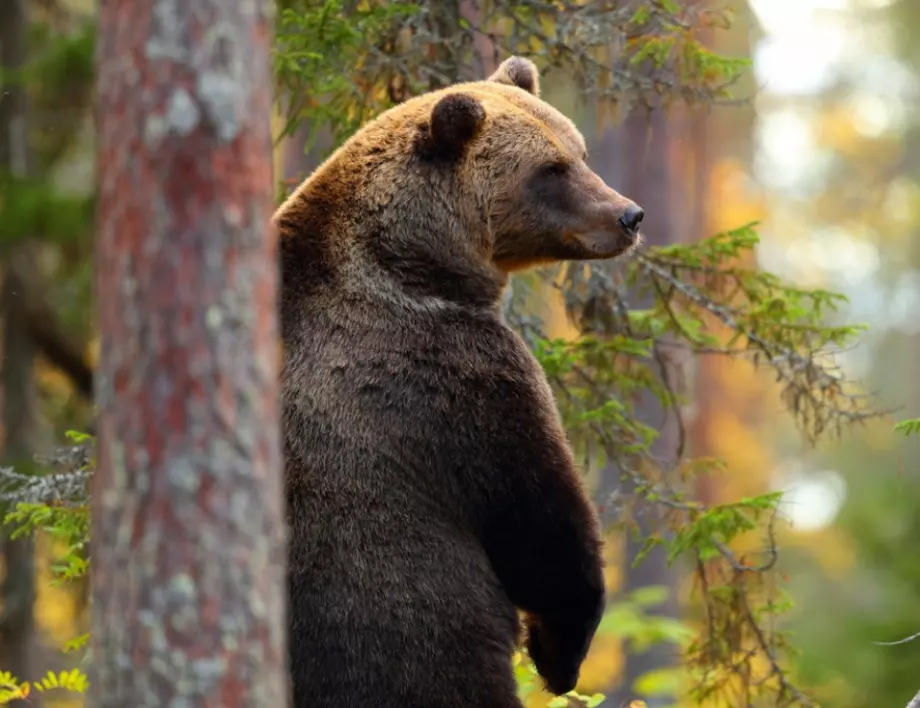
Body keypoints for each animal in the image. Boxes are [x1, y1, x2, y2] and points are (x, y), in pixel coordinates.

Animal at [276, 56, 644, 708]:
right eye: (550, 169)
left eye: (579, 151)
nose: (627, 215)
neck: (416, 263)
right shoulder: (456, 376)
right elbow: (542, 522)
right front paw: (558, 656)